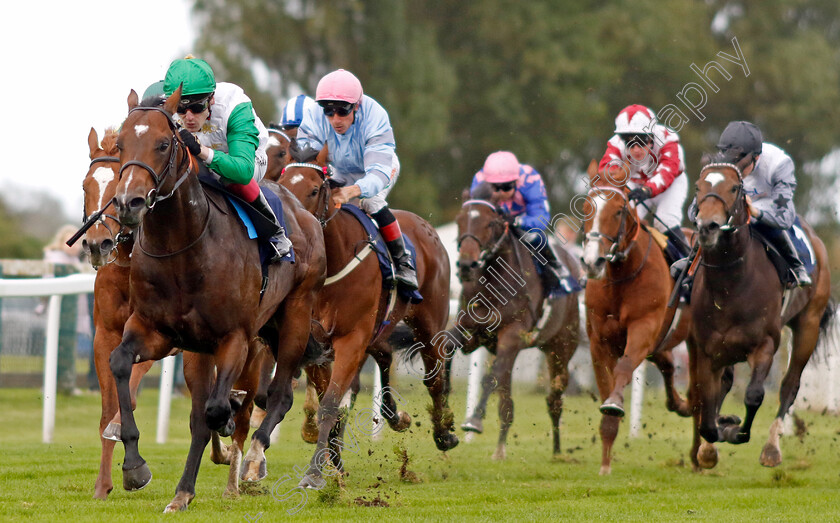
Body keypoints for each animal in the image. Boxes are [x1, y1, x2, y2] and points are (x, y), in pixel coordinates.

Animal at [108, 89, 324, 512]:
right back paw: (182, 493)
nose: (129, 203)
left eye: (163, 143)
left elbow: (218, 408)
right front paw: (134, 467)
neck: (181, 248)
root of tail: (304, 214)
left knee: (279, 395)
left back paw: (253, 457)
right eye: (120, 144)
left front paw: (229, 419)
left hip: (295, 313)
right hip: (205, 348)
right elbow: (121, 363)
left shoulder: (235, 337)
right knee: (200, 415)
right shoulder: (154, 330)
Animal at [272, 143, 460, 492]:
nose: (293, 228)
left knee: (435, 376)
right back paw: (395, 416)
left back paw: (444, 434)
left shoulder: (351, 339)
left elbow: (332, 403)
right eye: (282, 184)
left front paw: (314, 472)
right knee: (385, 354)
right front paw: (334, 466)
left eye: (315, 189)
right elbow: (331, 403)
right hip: (378, 327)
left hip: (429, 322)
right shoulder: (316, 342)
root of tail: (425, 227)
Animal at [450, 182, 580, 460]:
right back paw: (500, 448)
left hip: (561, 347)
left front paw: (473, 420)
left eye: (490, 222)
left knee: (554, 397)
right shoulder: (472, 330)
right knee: (506, 400)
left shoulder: (513, 334)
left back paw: (557, 450)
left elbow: (490, 378)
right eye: (459, 220)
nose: (466, 265)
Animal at [580, 160, 692, 474]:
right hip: (661, 343)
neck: (622, 274)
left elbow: (625, 367)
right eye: (586, 206)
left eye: (619, 210)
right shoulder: (598, 342)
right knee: (669, 366)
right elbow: (606, 386)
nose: (591, 262)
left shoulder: (643, 328)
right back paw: (682, 405)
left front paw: (616, 403)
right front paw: (605, 463)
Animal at [688, 161, 832, 470]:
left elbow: (754, 396)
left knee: (789, 386)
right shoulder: (706, 348)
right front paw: (712, 441)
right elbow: (706, 409)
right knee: (726, 383)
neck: (730, 285)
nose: (707, 226)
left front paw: (734, 430)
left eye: (734, 188)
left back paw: (771, 448)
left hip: (808, 325)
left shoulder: (765, 344)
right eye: (698, 187)